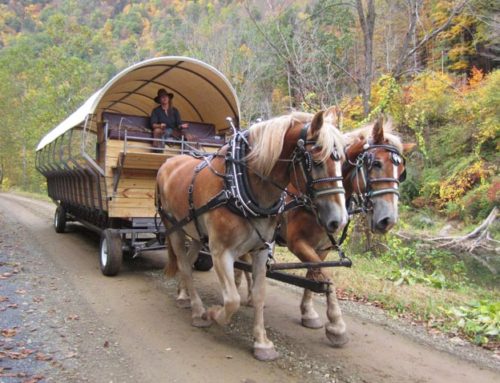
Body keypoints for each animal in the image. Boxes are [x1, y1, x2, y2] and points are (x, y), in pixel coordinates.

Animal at [156, 106, 348, 362]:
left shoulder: (260, 249)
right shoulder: (220, 252)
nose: (339, 220)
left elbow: (258, 294)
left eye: (343, 161)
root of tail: (169, 161)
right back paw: (197, 311)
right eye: (316, 162)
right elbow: (232, 300)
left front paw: (262, 342)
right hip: (174, 227)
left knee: (188, 259)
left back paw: (183, 294)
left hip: (195, 232)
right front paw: (213, 314)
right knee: (184, 265)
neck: (240, 185)